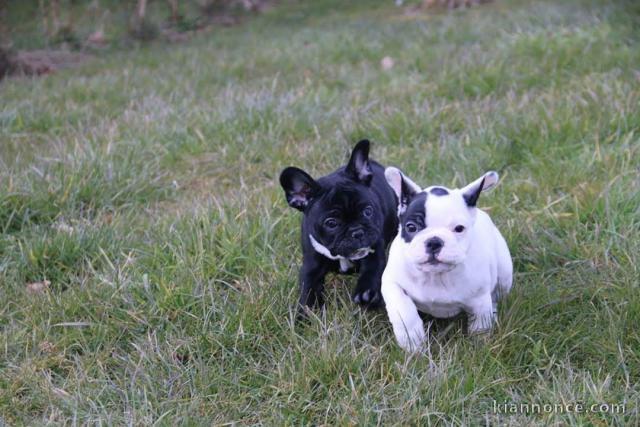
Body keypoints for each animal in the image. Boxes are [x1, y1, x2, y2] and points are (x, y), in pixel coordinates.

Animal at [278, 140, 398, 314]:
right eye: (331, 223)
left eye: (368, 211)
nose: (357, 232)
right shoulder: (311, 265)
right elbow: (308, 289)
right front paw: (305, 314)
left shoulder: (375, 251)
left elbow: (372, 271)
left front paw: (367, 293)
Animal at [382, 169, 512, 352]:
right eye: (411, 227)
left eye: (459, 229)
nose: (434, 242)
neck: (435, 276)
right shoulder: (391, 282)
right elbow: (404, 310)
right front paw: (413, 343)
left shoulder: (479, 299)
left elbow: (480, 324)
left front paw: (478, 347)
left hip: (504, 274)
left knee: (495, 296)